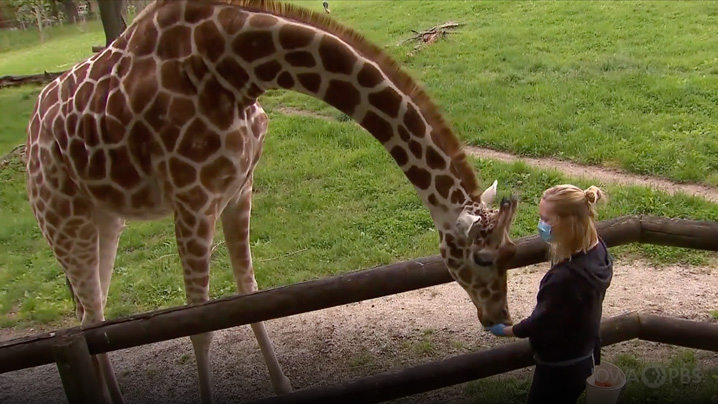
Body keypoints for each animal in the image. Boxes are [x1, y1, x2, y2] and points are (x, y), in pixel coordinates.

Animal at [23, 1, 516, 402]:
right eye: (483, 258)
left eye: (511, 252)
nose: (500, 318)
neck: (236, 66)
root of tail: (32, 129)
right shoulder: (193, 199)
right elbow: (199, 325)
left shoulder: (238, 189)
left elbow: (250, 295)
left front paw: (283, 387)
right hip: (61, 219)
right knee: (89, 315)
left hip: (106, 219)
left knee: (92, 316)